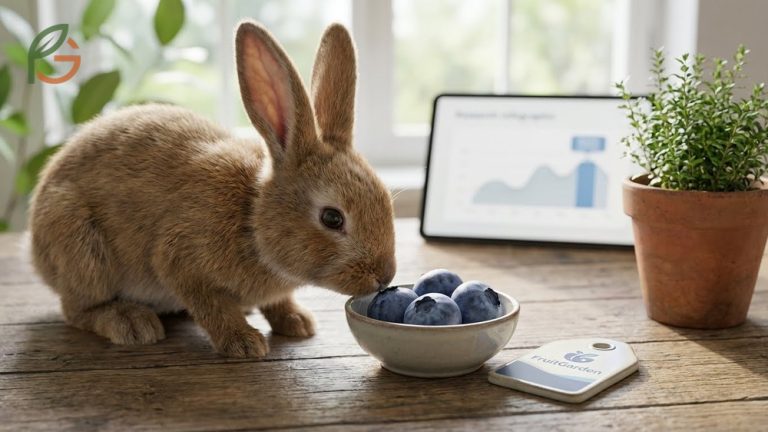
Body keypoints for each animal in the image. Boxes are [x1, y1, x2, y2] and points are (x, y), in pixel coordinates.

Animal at [27, 21, 396, 358]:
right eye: (332, 218)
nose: (384, 277)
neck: (252, 218)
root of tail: (35, 250)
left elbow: (278, 301)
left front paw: (296, 322)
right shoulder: (179, 260)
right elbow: (211, 307)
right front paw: (243, 343)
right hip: (82, 249)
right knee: (76, 309)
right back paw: (130, 323)